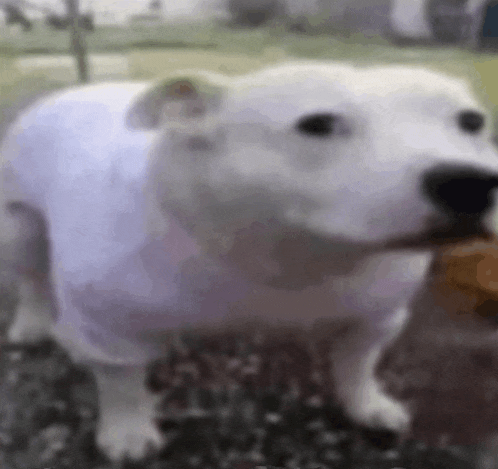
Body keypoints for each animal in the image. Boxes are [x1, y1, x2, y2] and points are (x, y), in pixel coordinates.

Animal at [0, 60, 498, 458]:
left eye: (472, 121)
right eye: (318, 124)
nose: (470, 182)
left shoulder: (376, 315)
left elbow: (358, 363)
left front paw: (367, 404)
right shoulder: (105, 328)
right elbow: (120, 383)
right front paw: (127, 430)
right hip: (19, 225)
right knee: (30, 276)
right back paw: (31, 323)